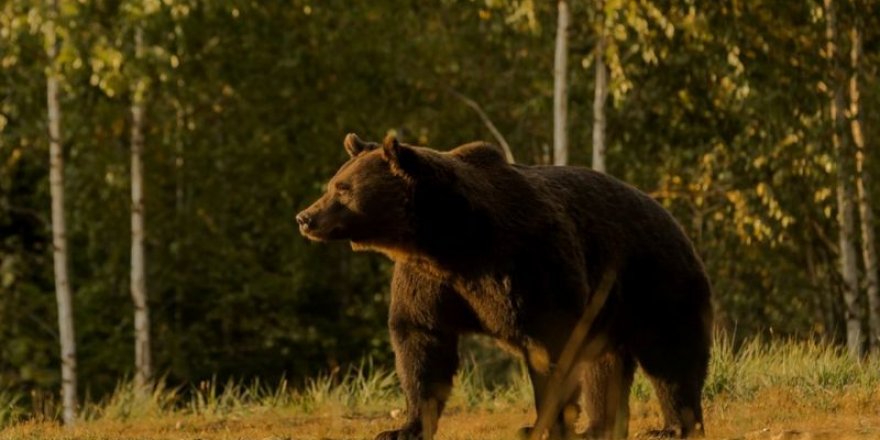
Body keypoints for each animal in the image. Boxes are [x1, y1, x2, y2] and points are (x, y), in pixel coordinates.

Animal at [300, 134, 712, 440]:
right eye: (333, 184)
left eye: (343, 189)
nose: (305, 217)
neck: (451, 240)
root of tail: (669, 216)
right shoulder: (429, 281)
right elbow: (421, 342)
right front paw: (404, 427)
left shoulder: (528, 261)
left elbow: (552, 345)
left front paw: (545, 423)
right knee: (605, 366)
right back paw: (600, 427)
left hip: (655, 280)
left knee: (670, 355)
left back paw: (674, 426)